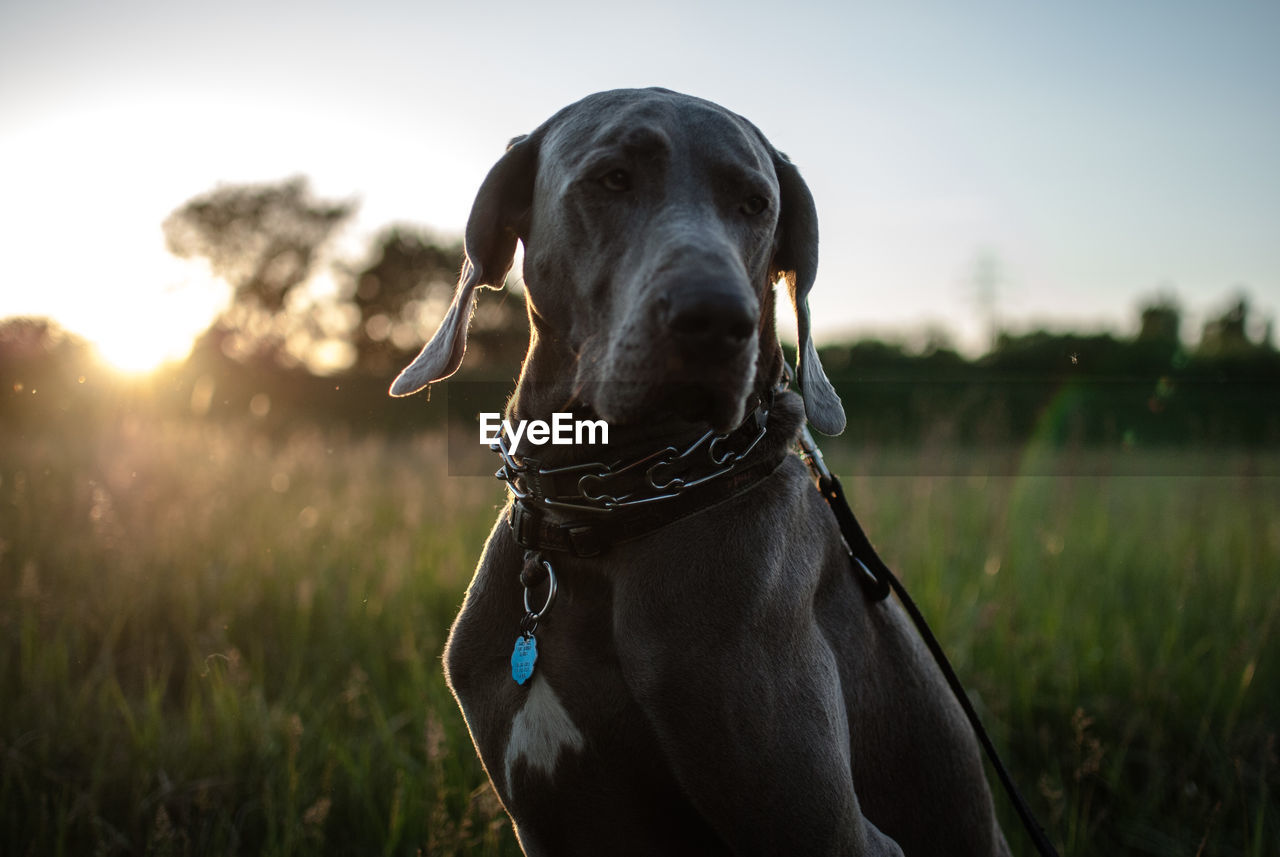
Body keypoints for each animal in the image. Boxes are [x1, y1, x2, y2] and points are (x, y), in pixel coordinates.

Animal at [394, 90, 1013, 854]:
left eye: (755, 203)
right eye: (612, 178)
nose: (717, 318)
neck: (604, 514)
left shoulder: (833, 829)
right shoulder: (547, 822)